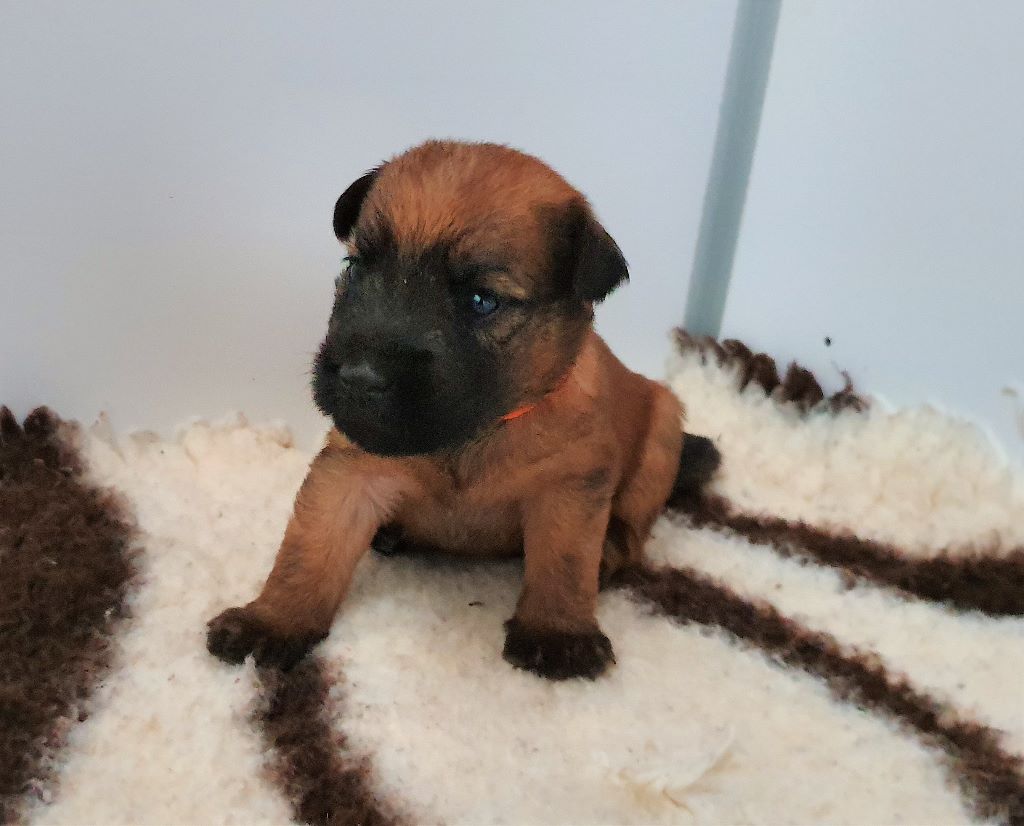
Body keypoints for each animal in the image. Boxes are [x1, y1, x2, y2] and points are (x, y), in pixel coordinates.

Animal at [207, 140, 719, 680]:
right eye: (354, 270)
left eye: (481, 300)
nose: (357, 379)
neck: (469, 435)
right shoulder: (350, 470)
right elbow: (308, 551)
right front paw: (272, 621)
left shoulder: (569, 485)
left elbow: (564, 562)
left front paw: (558, 632)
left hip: (663, 428)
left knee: (634, 526)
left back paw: (611, 550)